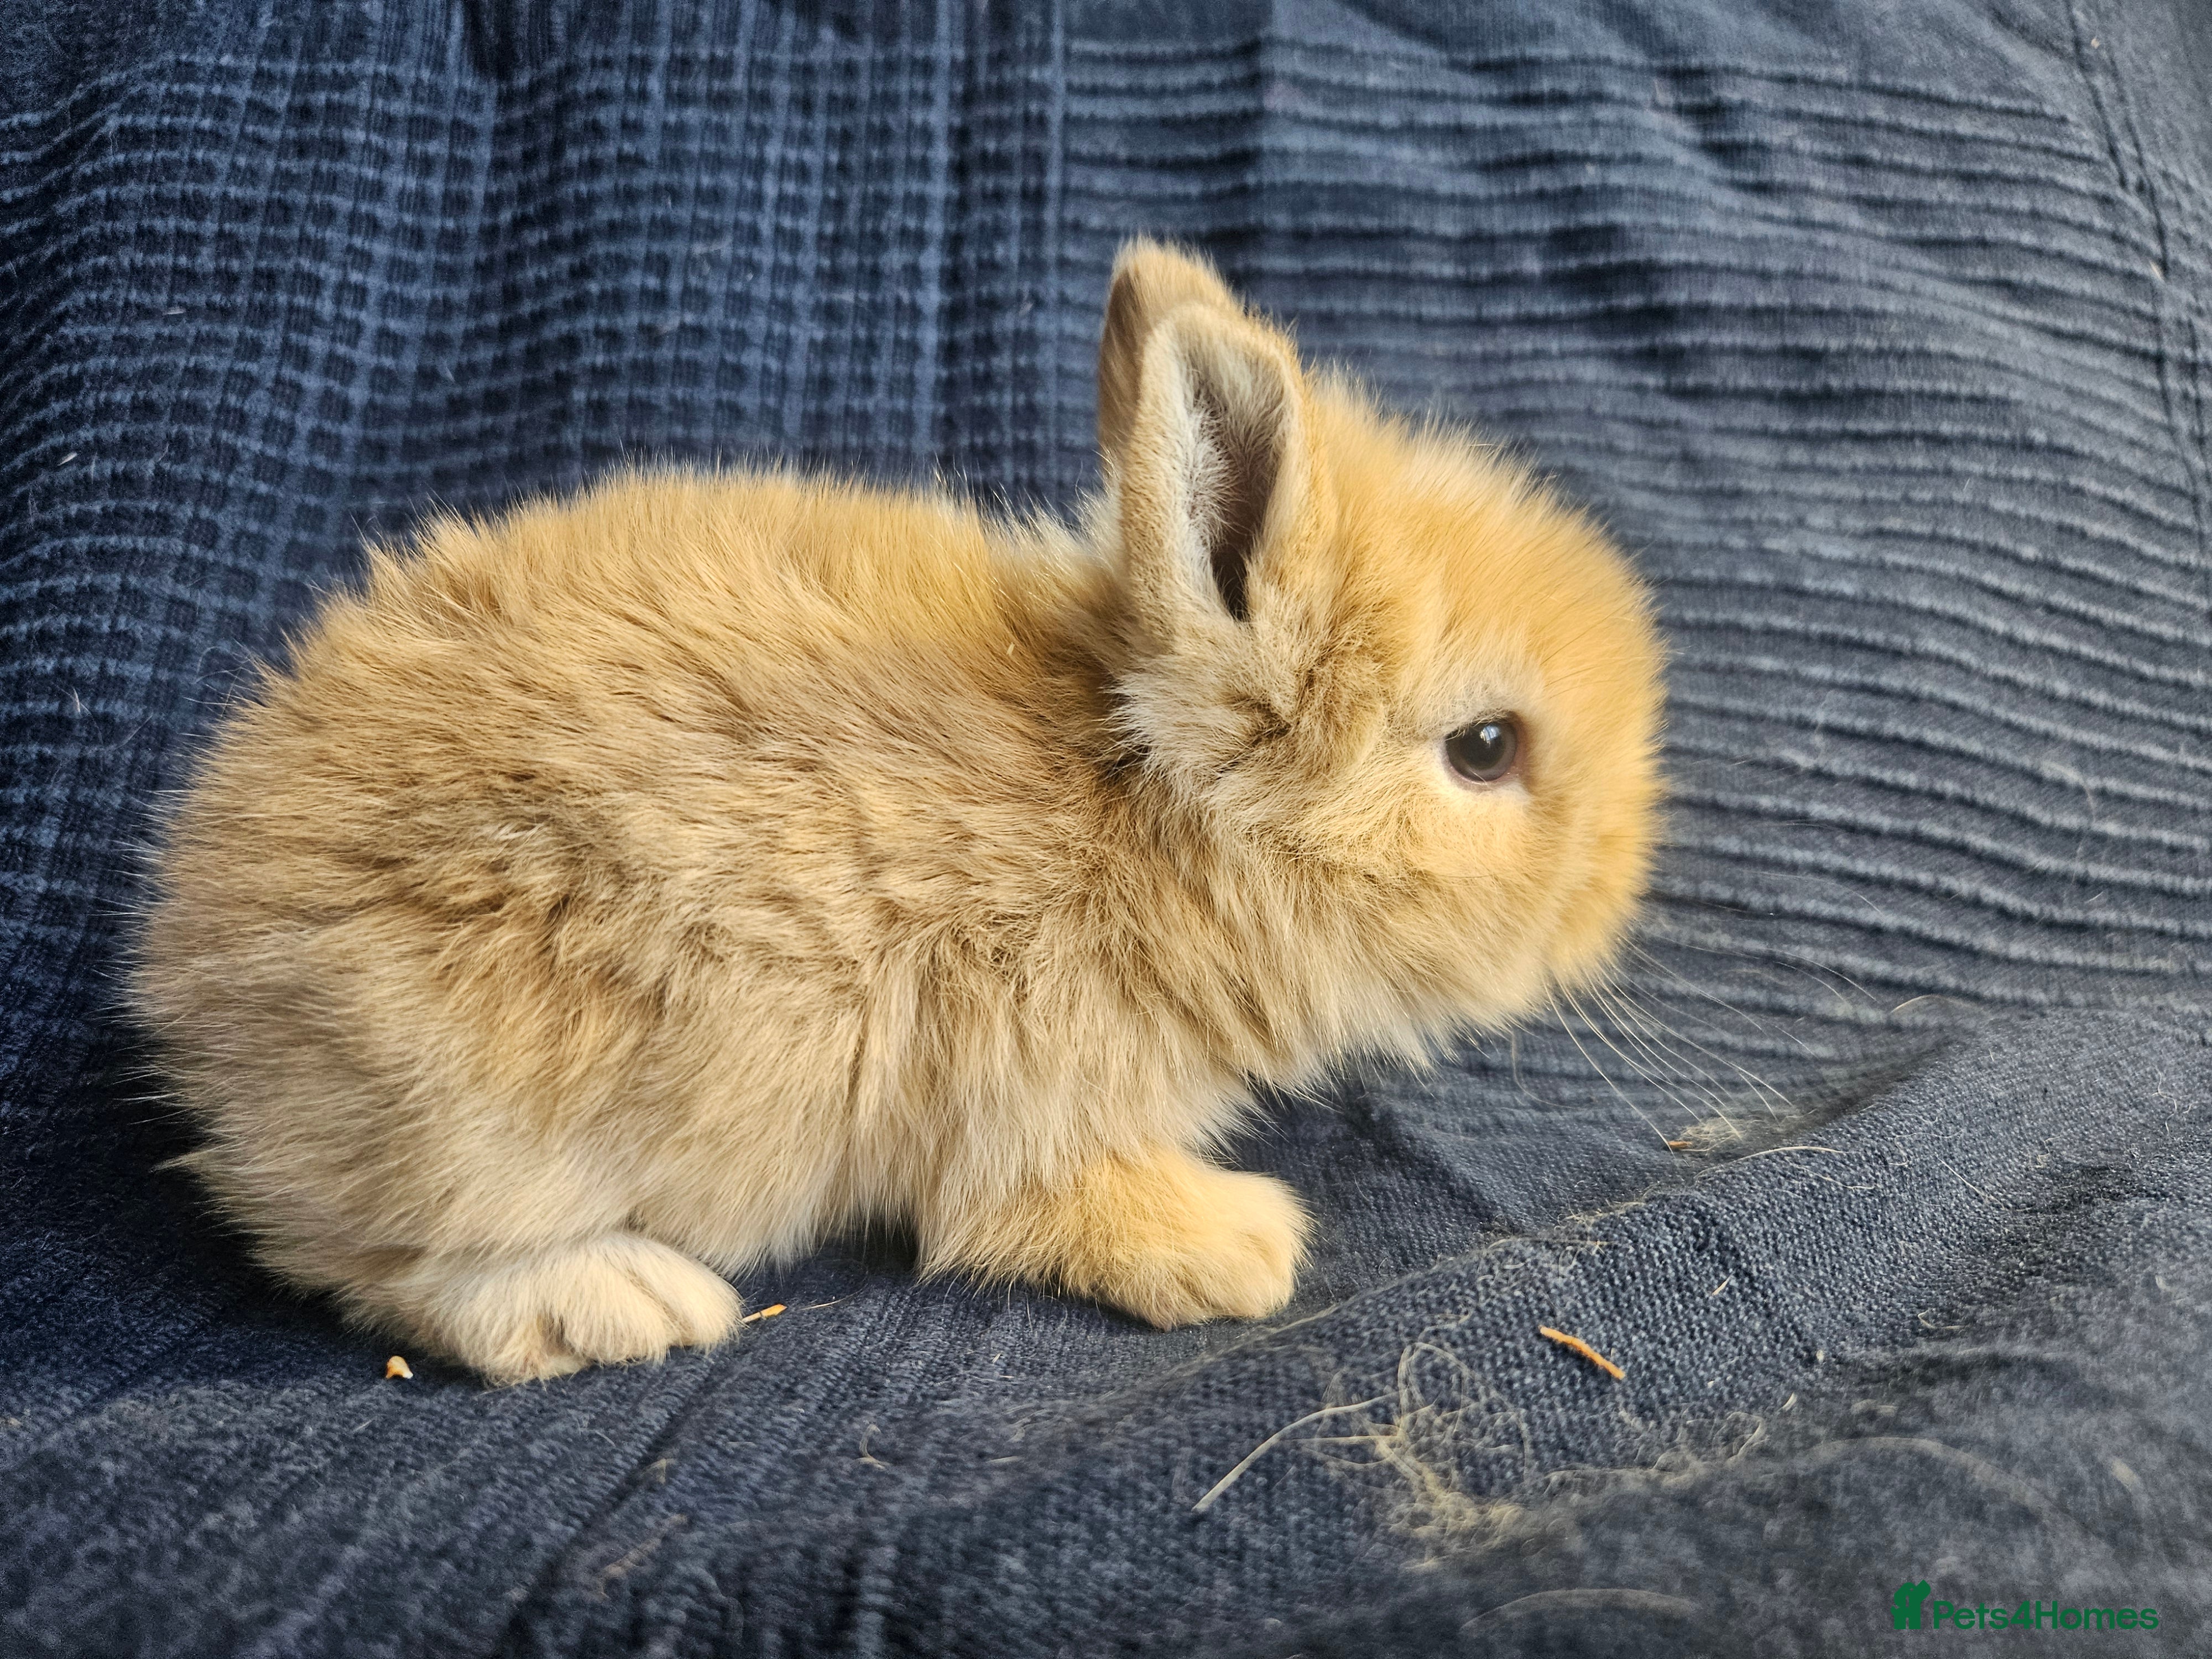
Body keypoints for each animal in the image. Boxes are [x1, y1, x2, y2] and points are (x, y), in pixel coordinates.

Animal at [130, 239, 1665, 1384]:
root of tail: (191, 979)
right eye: (1485, 748)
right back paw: (625, 1303)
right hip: (483, 1110)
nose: (1615, 893)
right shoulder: (1029, 1101)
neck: (1141, 801)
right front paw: (1238, 1251)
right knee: (369, 1262)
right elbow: (1039, 1207)